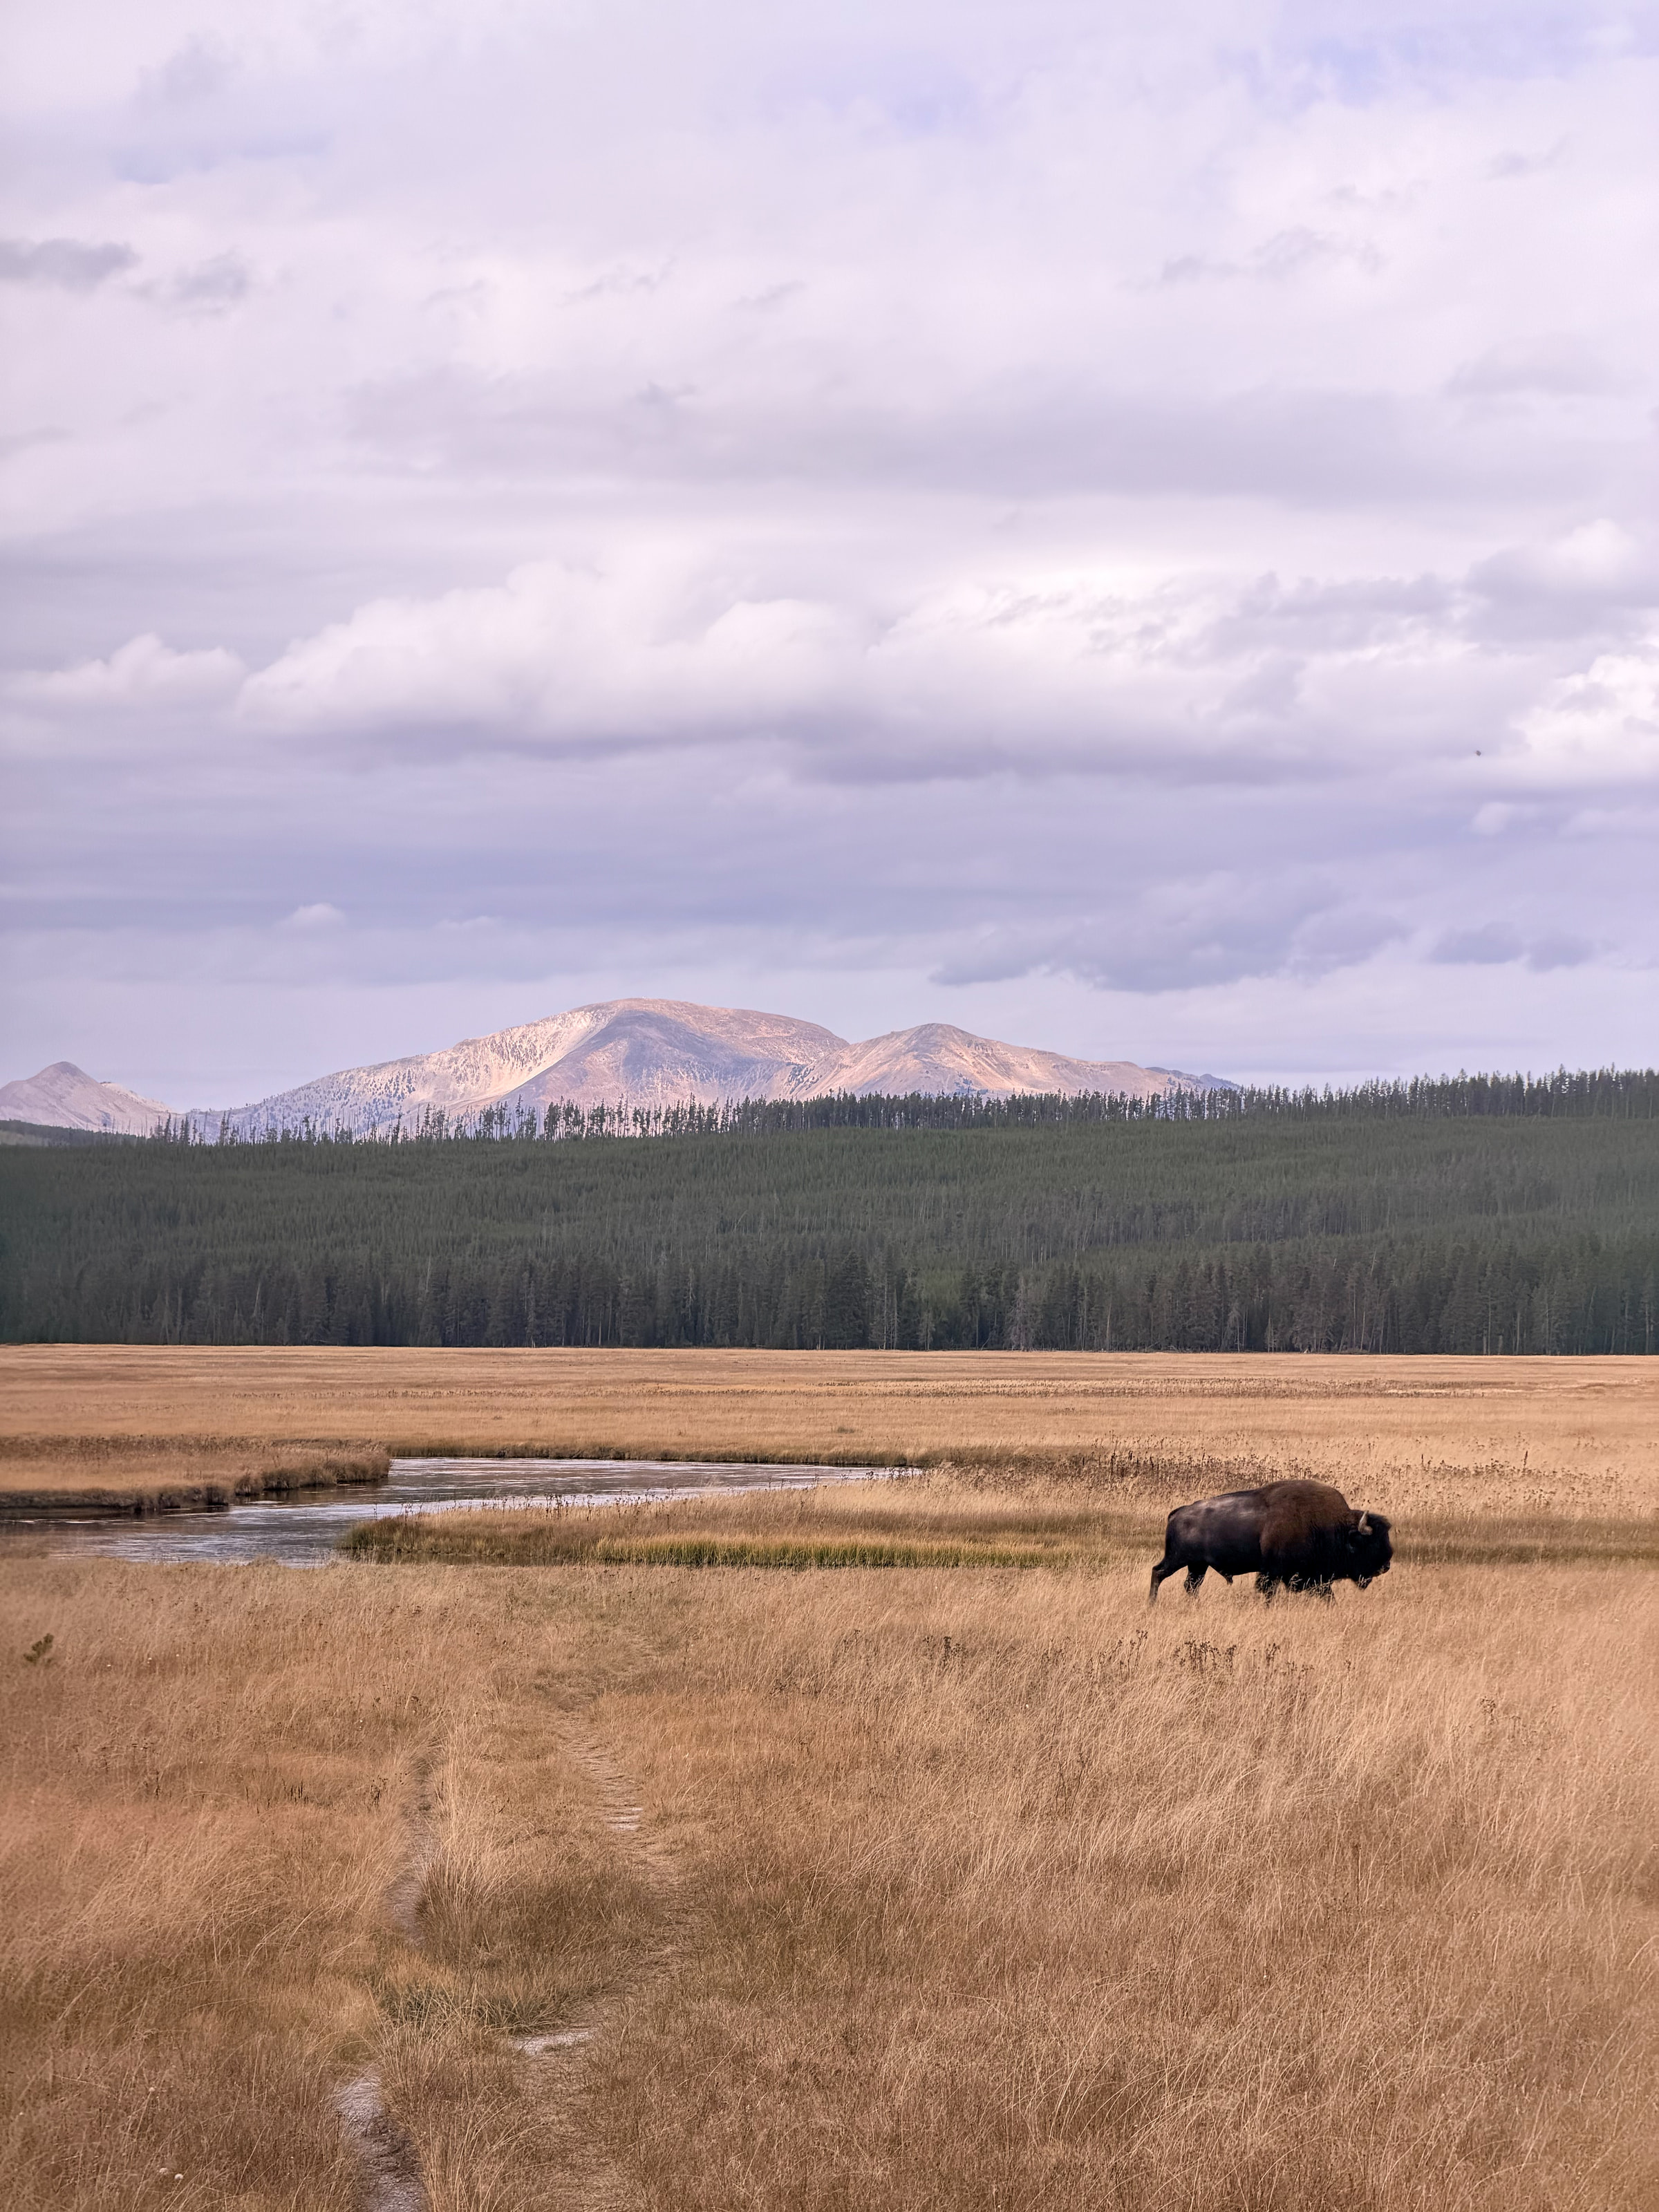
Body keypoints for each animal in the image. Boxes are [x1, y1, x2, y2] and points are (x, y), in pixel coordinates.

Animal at [1148, 1479, 1392, 1604]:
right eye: (1371, 1543)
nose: (1387, 1565)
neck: (1333, 1527)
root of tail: (1178, 1513)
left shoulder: (1316, 1579)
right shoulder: (1272, 1573)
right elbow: (1267, 1593)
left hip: (1198, 1565)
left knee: (1191, 1585)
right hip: (1179, 1560)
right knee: (1158, 1573)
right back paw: (1152, 1604)